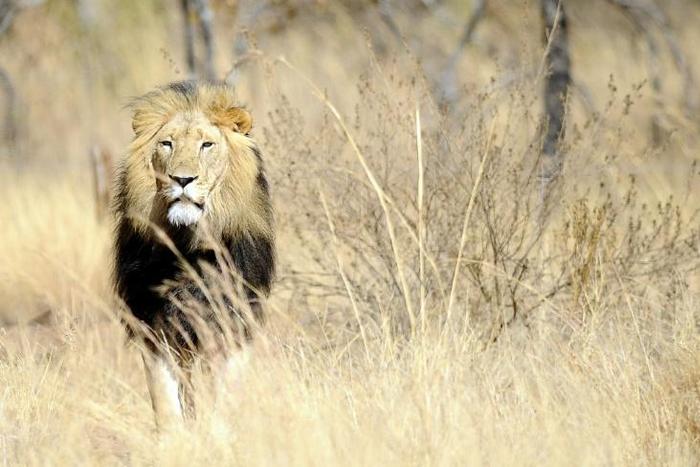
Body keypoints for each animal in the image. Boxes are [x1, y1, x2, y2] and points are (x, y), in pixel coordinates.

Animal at [112, 81, 275, 430]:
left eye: (206, 145)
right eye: (167, 144)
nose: (182, 180)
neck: (188, 246)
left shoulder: (233, 322)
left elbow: (224, 401)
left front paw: (218, 435)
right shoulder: (153, 325)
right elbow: (165, 403)